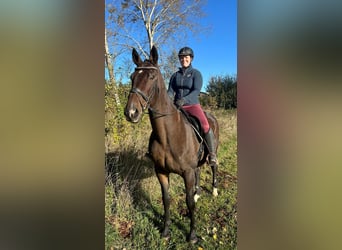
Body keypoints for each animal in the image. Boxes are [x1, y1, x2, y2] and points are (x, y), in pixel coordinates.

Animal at [123, 46, 219, 243]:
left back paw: (214, 190)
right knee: (199, 171)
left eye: (151, 77)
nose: (131, 112)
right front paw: (166, 231)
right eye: (132, 77)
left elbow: (188, 203)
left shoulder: (187, 173)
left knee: (213, 167)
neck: (168, 136)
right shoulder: (161, 171)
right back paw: (198, 193)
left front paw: (192, 235)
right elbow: (166, 199)